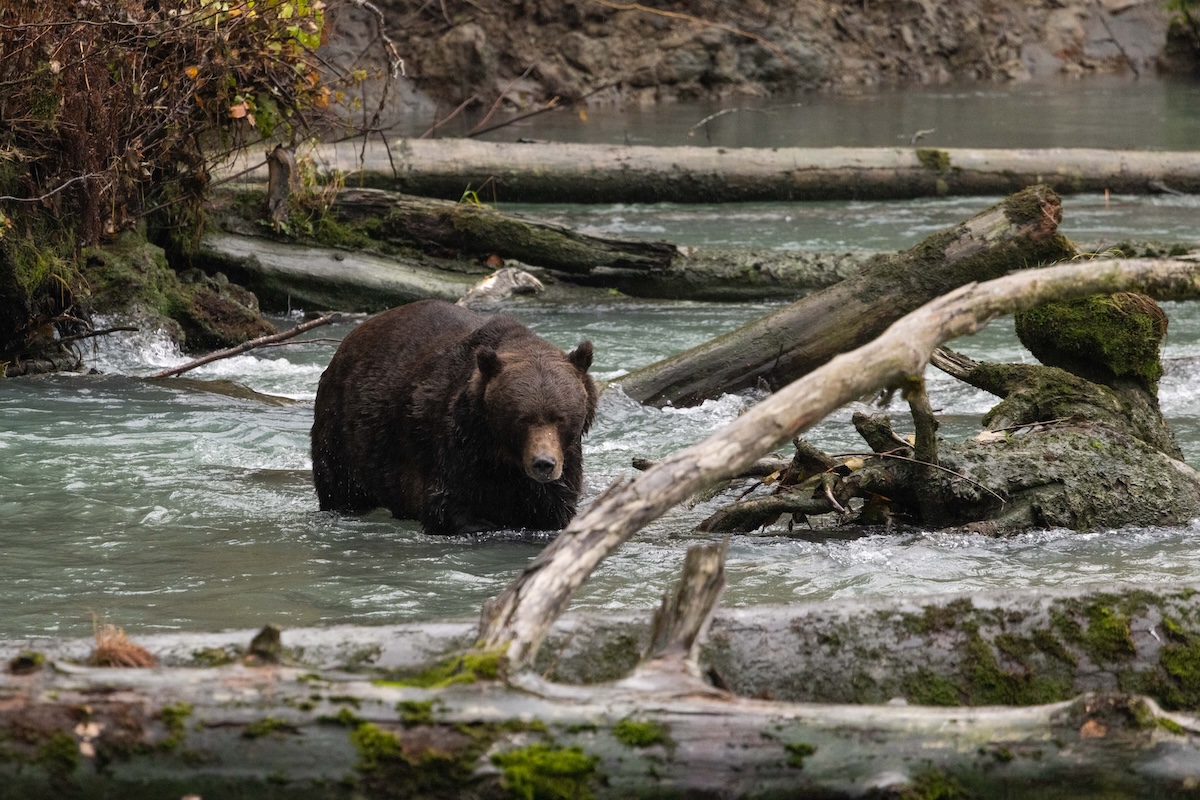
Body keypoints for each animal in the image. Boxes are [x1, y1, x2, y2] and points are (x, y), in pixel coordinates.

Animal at [311, 299, 598, 535]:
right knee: (340, 487)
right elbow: (451, 509)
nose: (543, 464)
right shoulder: (454, 448)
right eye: (521, 418)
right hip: (344, 432)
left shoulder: (562, 466)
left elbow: (552, 509)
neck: (502, 458)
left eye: (560, 417)